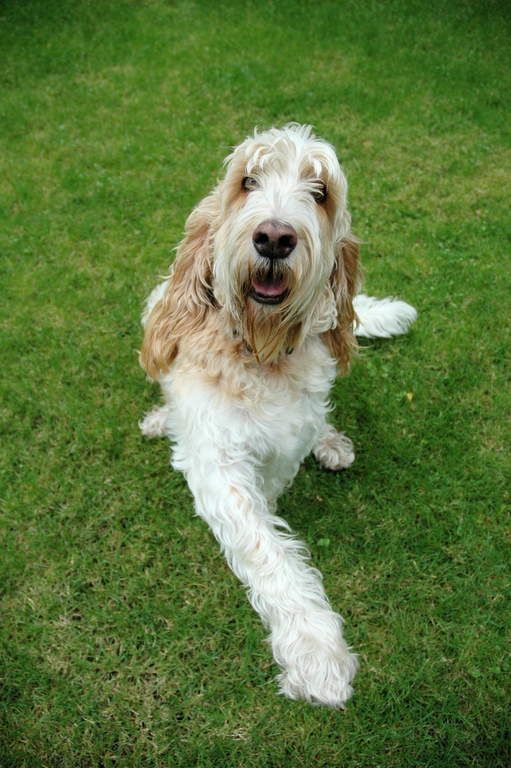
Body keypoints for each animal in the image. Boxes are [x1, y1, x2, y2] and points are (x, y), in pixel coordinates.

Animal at [139, 124, 416, 708]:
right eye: (248, 181)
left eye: (321, 192)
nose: (274, 237)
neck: (260, 353)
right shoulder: (218, 464)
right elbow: (265, 546)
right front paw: (315, 652)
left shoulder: (289, 435)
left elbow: (274, 492)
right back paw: (160, 420)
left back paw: (331, 442)